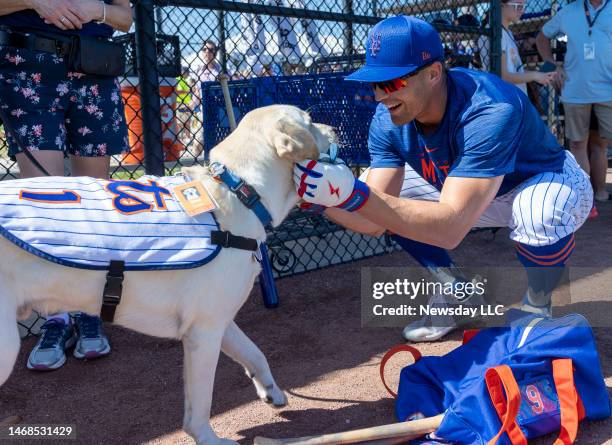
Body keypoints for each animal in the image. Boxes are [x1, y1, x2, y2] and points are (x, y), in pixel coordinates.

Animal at [1, 105, 334, 444]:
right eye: (310, 122)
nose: (334, 130)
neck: (241, 192)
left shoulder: (218, 321)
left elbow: (255, 353)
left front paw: (271, 391)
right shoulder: (204, 334)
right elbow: (201, 403)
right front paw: (208, 438)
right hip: (6, 345)